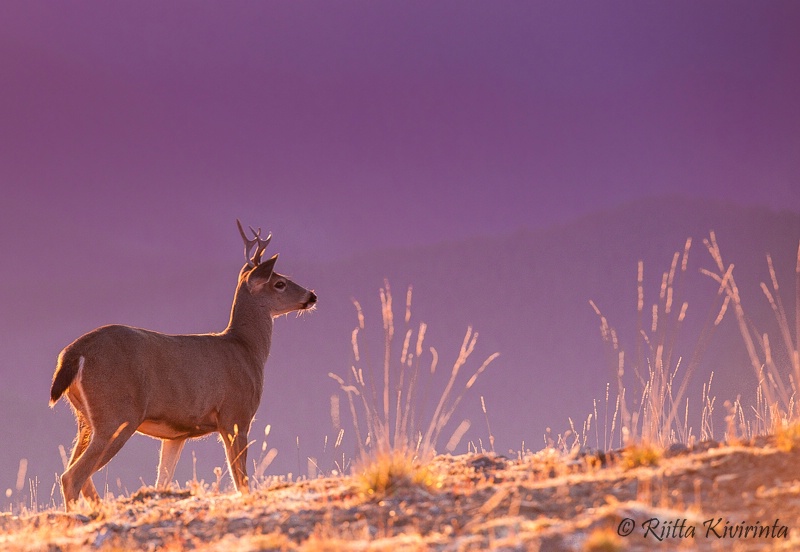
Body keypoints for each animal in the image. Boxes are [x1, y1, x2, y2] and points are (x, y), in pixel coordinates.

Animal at [47, 219, 318, 508]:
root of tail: (73, 354)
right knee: (72, 476)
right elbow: (241, 480)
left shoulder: (177, 435)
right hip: (117, 415)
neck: (245, 349)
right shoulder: (236, 414)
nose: (312, 295)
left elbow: (163, 480)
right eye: (280, 283)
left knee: (79, 473)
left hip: (86, 419)